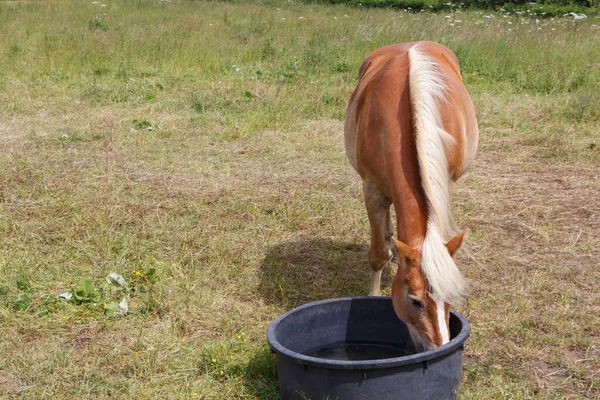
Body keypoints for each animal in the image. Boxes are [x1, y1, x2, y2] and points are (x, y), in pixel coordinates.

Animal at [346, 41, 478, 350]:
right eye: (415, 300)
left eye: (450, 298)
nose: (438, 348)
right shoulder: (372, 190)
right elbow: (377, 254)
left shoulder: (446, 183)